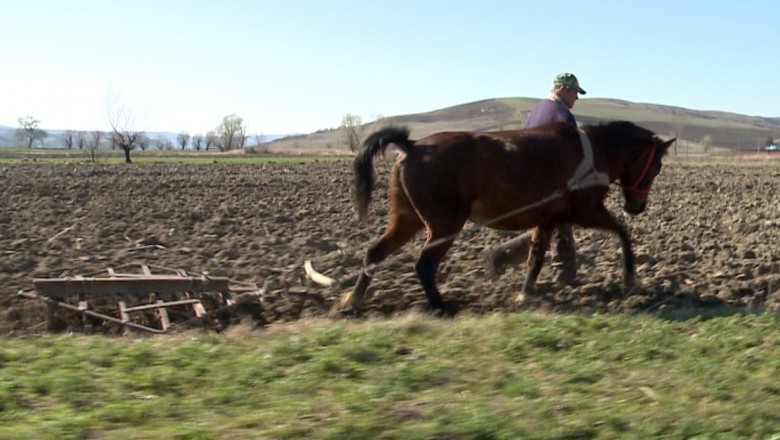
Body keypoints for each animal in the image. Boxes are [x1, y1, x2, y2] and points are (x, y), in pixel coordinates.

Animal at [338, 118, 672, 314]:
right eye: (656, 167)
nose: (638, 206)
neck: (594, 151)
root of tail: (412, 147)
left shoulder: (547, 220)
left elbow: (536, 256)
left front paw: (525, 294)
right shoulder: (587, 211)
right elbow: (623, 233)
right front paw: (630, 276)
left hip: (408, 220)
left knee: (374, 253)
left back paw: (352, 301)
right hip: (444, 225)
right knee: (424, 265)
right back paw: (442, 305)